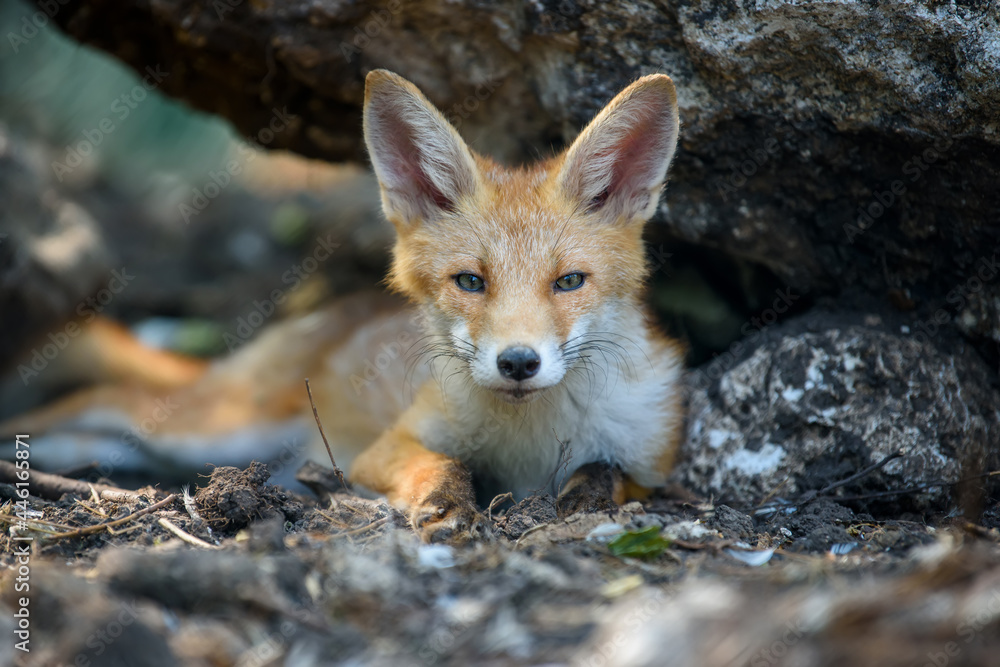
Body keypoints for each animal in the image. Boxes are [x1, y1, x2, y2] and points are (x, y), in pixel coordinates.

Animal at [0, 72, 684, 544]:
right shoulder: (383, 448)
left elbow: (605, 471)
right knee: (98, 399)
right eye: (470, 281)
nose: (518, 363)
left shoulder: (652, 459)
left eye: (569, 281)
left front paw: (583, 498)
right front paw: (445, 502)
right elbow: (439, 464)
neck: (529, 443)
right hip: (215, 423)